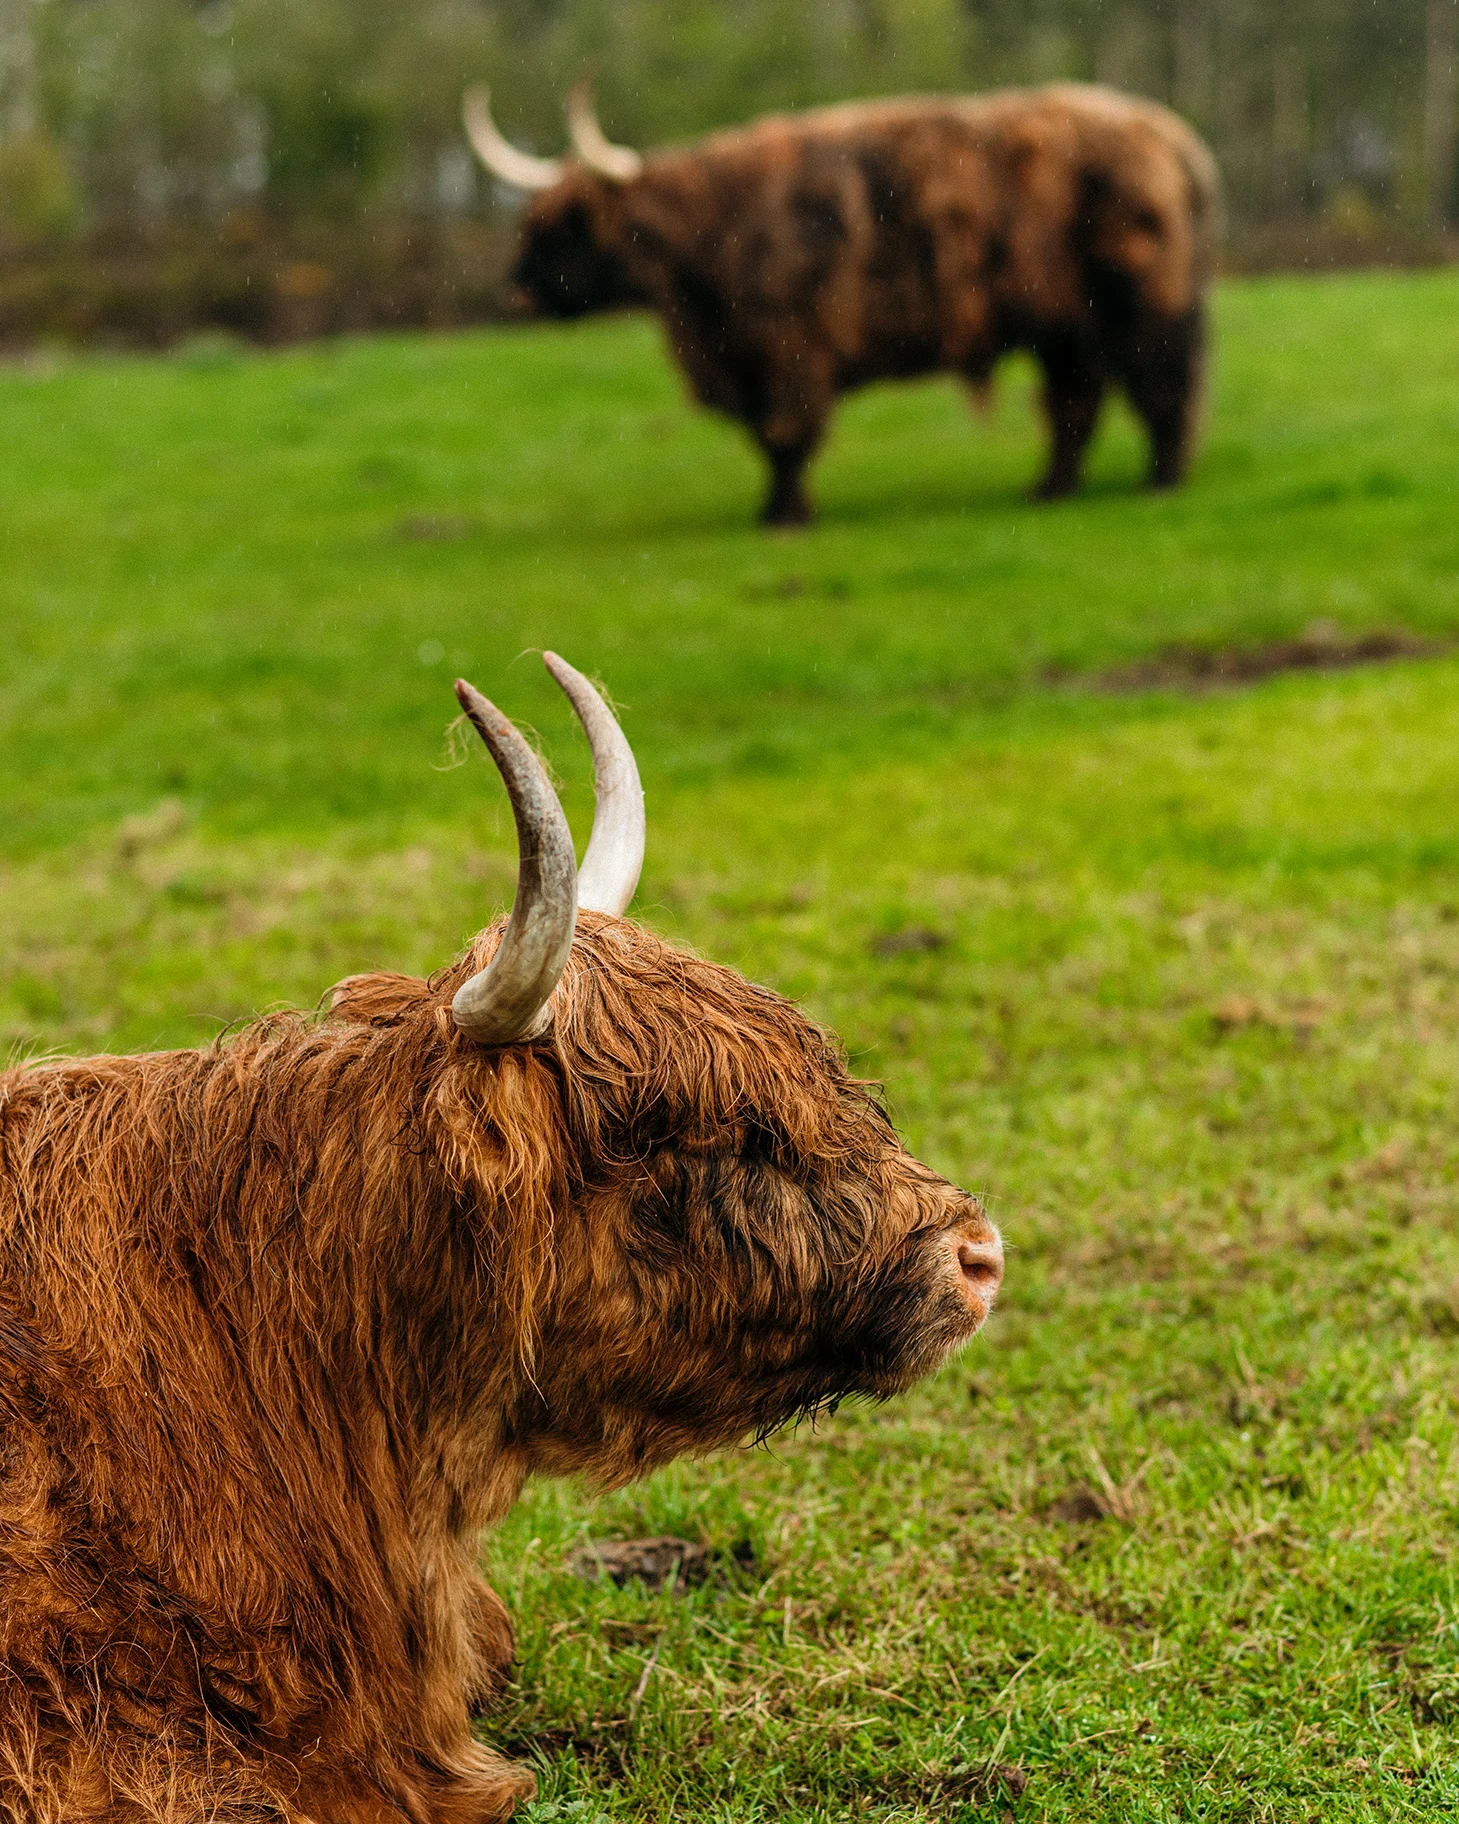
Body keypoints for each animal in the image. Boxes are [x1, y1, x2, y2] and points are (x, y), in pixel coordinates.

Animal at [465, 81, 1220, 526]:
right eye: (529, 223)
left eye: (563, 228)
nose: (515, 291)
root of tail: (1170, 134)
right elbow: (766, 437)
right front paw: (774, 507)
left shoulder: (789, 347)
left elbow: (784, 434)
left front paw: (784, 516)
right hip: (1066, 327)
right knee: (1074, 404)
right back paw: (1049, 490)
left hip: (1144, 306)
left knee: (1163, 386)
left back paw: (1161, 481)